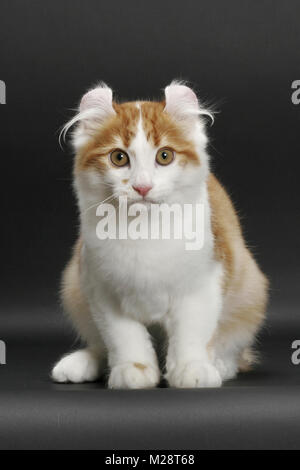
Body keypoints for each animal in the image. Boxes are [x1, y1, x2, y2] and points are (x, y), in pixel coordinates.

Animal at [51, 81, 268, 390]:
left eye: (164, 156)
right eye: (119, 158)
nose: (142, 186)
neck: (143, 230)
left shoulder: (203, 284)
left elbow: (191, 334)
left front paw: (192, 369)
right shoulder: (101, 288)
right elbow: (123, 338)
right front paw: (133, 370)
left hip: (251, 288)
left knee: (234, 350)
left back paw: (219, 364)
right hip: (73, 288)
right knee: (99, 346)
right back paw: (80, 364)